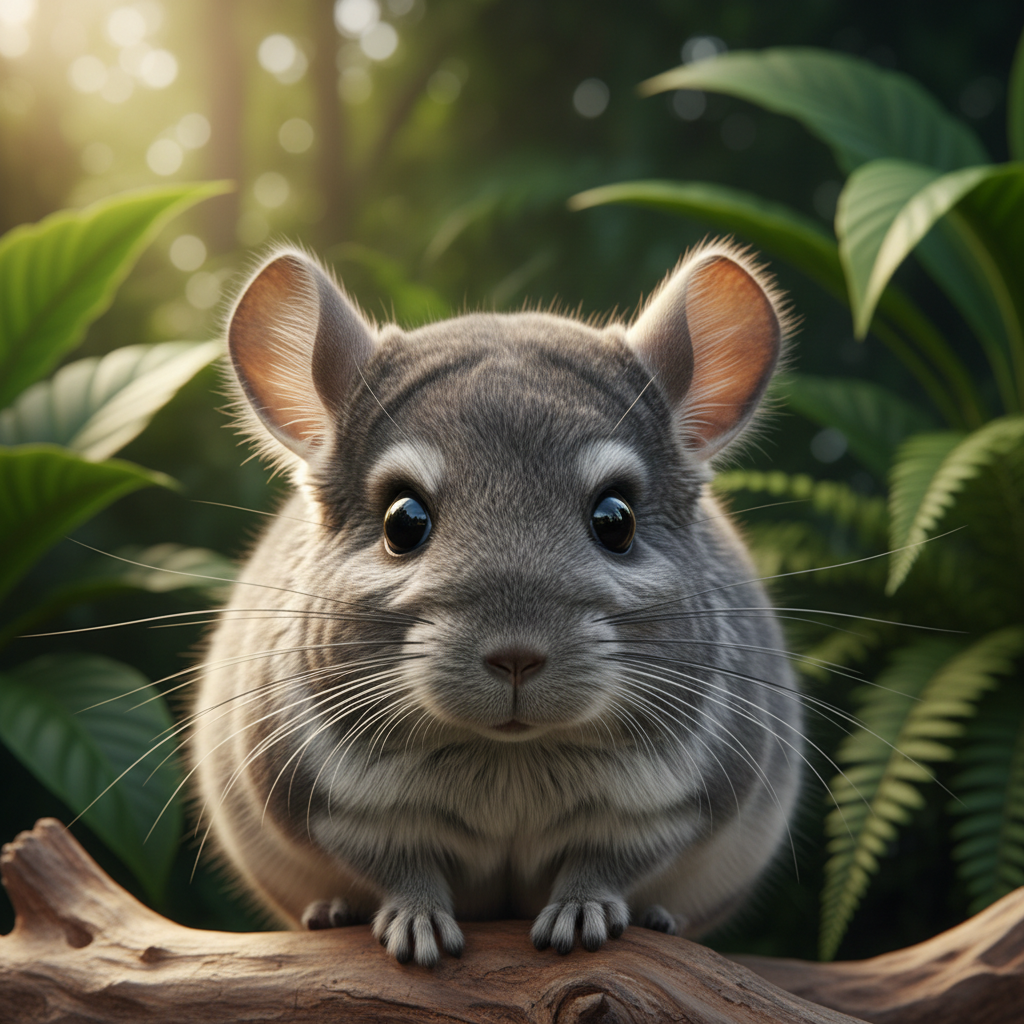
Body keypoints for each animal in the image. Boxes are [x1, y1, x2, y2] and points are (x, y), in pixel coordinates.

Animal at [190, 241, 803, 966]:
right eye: (403, 521)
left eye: (616, 519)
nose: (515, 656)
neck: (510, 755)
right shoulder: (336, 810)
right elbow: (405, 870)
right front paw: (418, 932)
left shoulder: (670, 810)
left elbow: (603, 865)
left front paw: (580, 919)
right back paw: (331, 911)